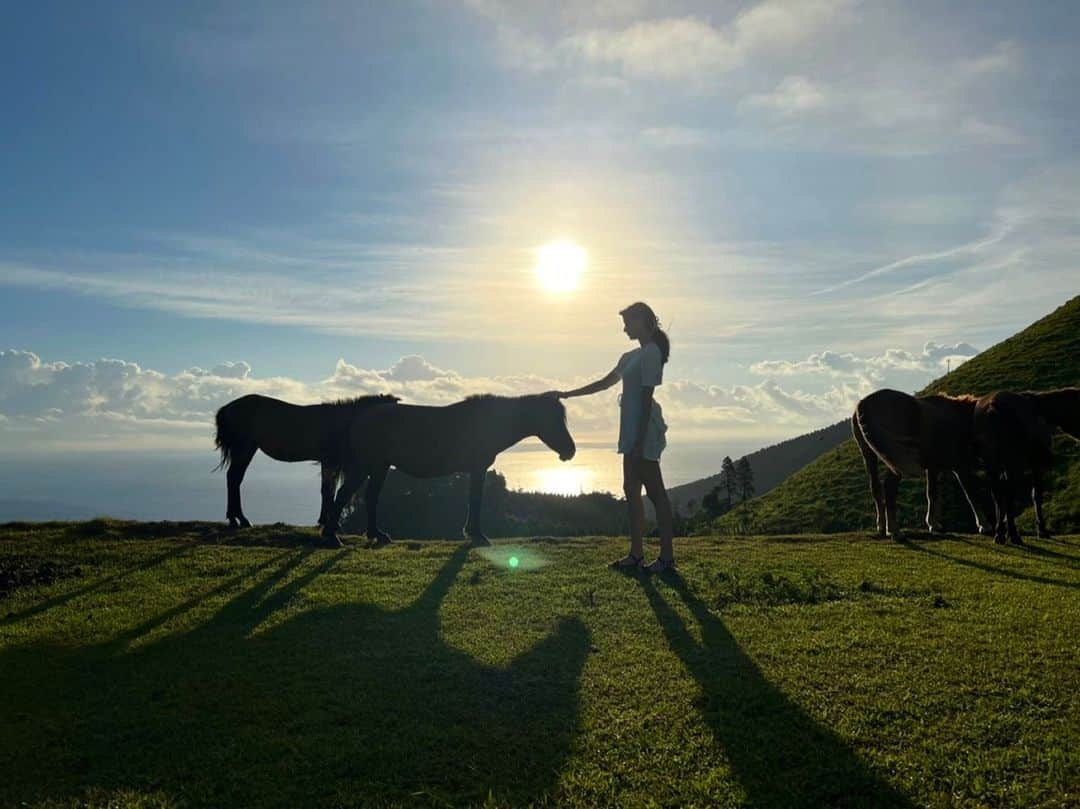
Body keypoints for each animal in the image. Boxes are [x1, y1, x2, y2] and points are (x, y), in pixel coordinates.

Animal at [212, 390, 399, 529]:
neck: (343, 422)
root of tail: (226, 408)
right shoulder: (330, 461)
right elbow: (328, 490)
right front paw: (329, 523)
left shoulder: (328, 462)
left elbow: (327, 489)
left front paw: (325, 521)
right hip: (244, 449)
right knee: (234, 478)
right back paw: (240, 519)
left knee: (234, 478)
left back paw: (236, 519)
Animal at [317, 395, 578, 546]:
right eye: (553, 419)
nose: (570, 450)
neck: (489, 421)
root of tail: (360, 417)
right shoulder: (477, 469)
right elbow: (475, 499)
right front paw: (477, 535)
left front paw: (472, 533)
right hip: (364, 466)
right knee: (344, 496)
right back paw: (332, 537)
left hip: (380, 467)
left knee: (371, 497)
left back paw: (377, 534)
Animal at [851, 388, 993, 540]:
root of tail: (863, 404)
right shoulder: (960, 467)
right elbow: (971, 495)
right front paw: (984, 526)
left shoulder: (933, 468)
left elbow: (932, 493)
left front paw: (933, 524)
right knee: (889, 487)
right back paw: (894, 530)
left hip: (870, 456)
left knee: (876, 488)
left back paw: (882, 527)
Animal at [972, 388, 1080, 546]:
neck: (1041, 408)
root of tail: (993, 405)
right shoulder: (1036, 464)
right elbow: (1036, 494)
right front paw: (1042, 530)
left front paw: (1003, 526)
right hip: (1013, 462)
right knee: (1009, 492)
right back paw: (1013, 535)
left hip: (991, 463)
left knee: (997, 493)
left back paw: (1000, 534)